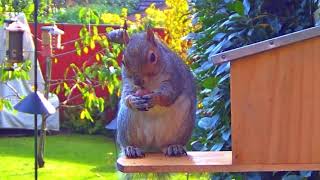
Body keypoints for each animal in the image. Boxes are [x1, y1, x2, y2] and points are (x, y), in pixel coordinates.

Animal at [109, 28, 196, 158]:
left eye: (152, 57)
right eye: (123, 61)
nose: (138, 82)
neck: (150, 83)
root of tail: (152, 148)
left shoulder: (174, 77)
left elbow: (168, 95)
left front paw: (154, 98)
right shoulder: (128, 82)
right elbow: (126, 95)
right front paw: (133, 101)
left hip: (182, 126)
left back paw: (174, 147)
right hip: (126, 123)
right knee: (129, 144)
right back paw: (131, 149)